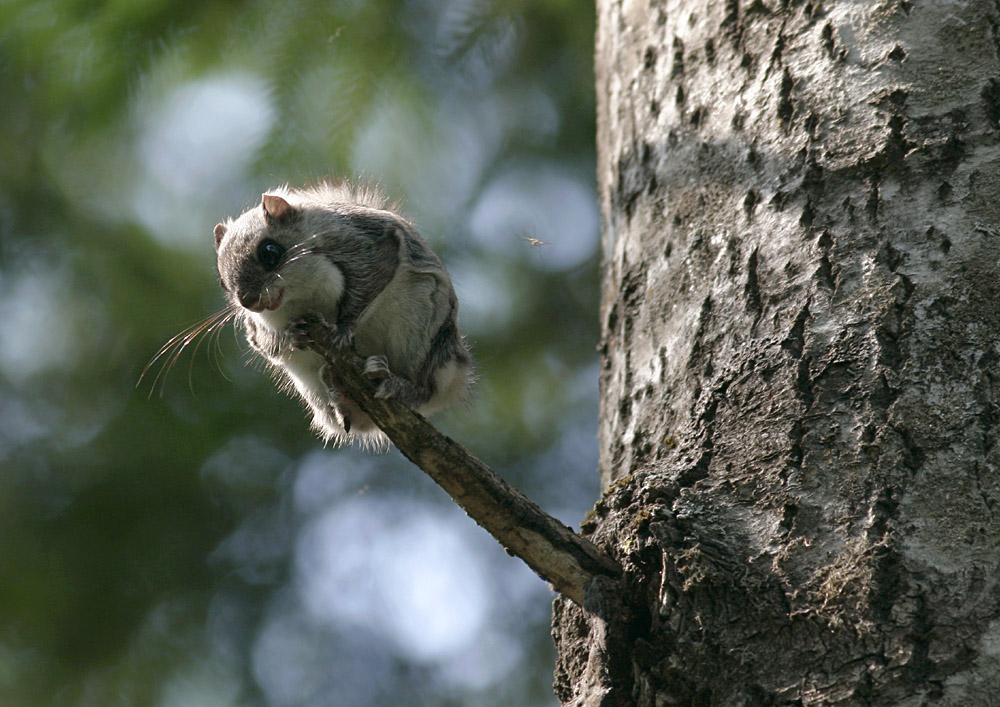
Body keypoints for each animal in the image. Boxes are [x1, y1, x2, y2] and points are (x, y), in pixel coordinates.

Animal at [210, 183, 472, 448]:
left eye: (270, 252)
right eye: (222, 281)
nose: (248, 301)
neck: (299, 295)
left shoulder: (363, 242)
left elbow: (373, 277)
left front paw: (343, 329)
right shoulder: (257, 328)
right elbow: (266, 345)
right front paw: (292, 336)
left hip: (420, 325)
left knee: (426, 388)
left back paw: (399, 385)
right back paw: (345, 398)